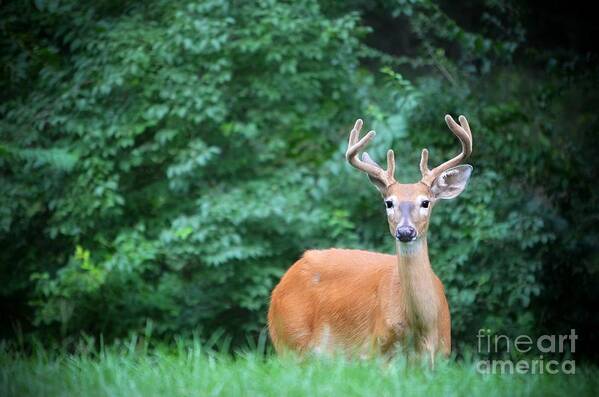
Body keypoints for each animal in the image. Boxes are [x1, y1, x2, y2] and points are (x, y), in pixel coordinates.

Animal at [268, 112, 474, 366]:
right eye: (389, 202)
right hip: (290, 340)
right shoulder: (377, 351)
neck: (422, 329)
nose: (405, 232)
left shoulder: (443, 354)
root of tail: (279, 288)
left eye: (426, 202)